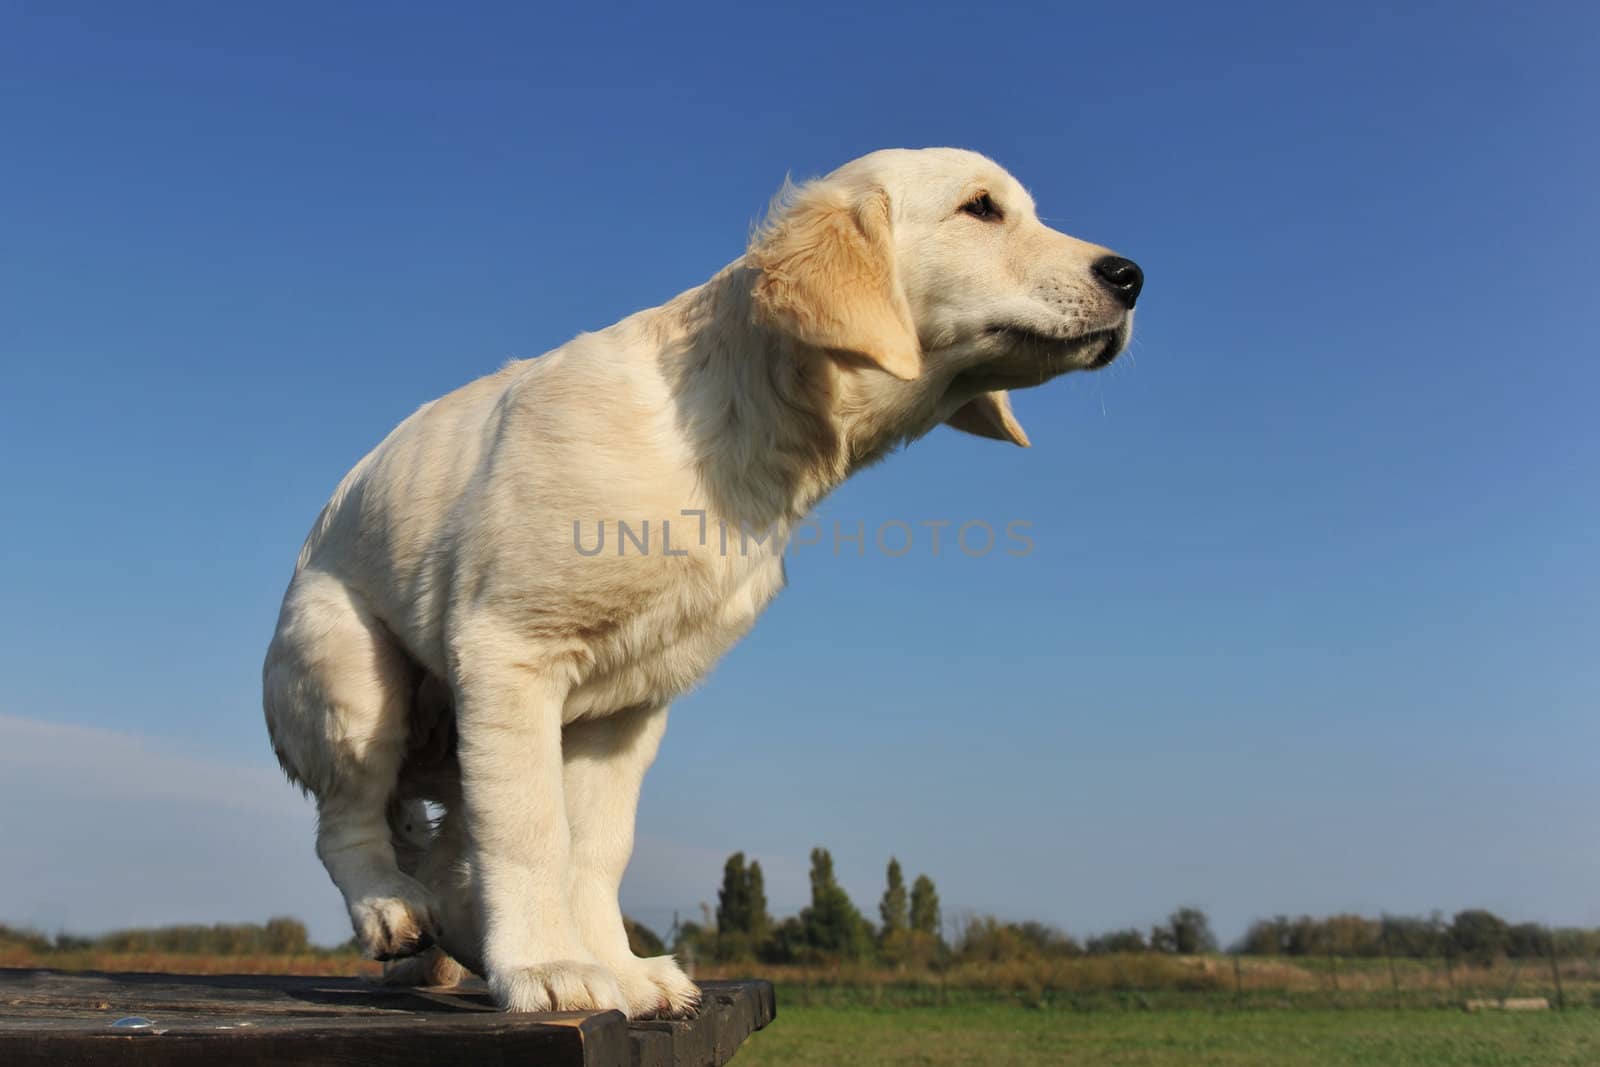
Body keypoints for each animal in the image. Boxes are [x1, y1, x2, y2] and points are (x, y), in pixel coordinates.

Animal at [259, 147, 1139, 1017]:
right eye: (981, 208)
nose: (1132, 276)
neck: (734, 437)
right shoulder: (510, 649)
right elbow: (532, 829)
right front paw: (548, 967)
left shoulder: (626, 707)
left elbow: (597, 846)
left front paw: (618, 967)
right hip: (354, 680)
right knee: (351, 821)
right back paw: (392, 911)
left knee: (440, 853)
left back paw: (448, 944)